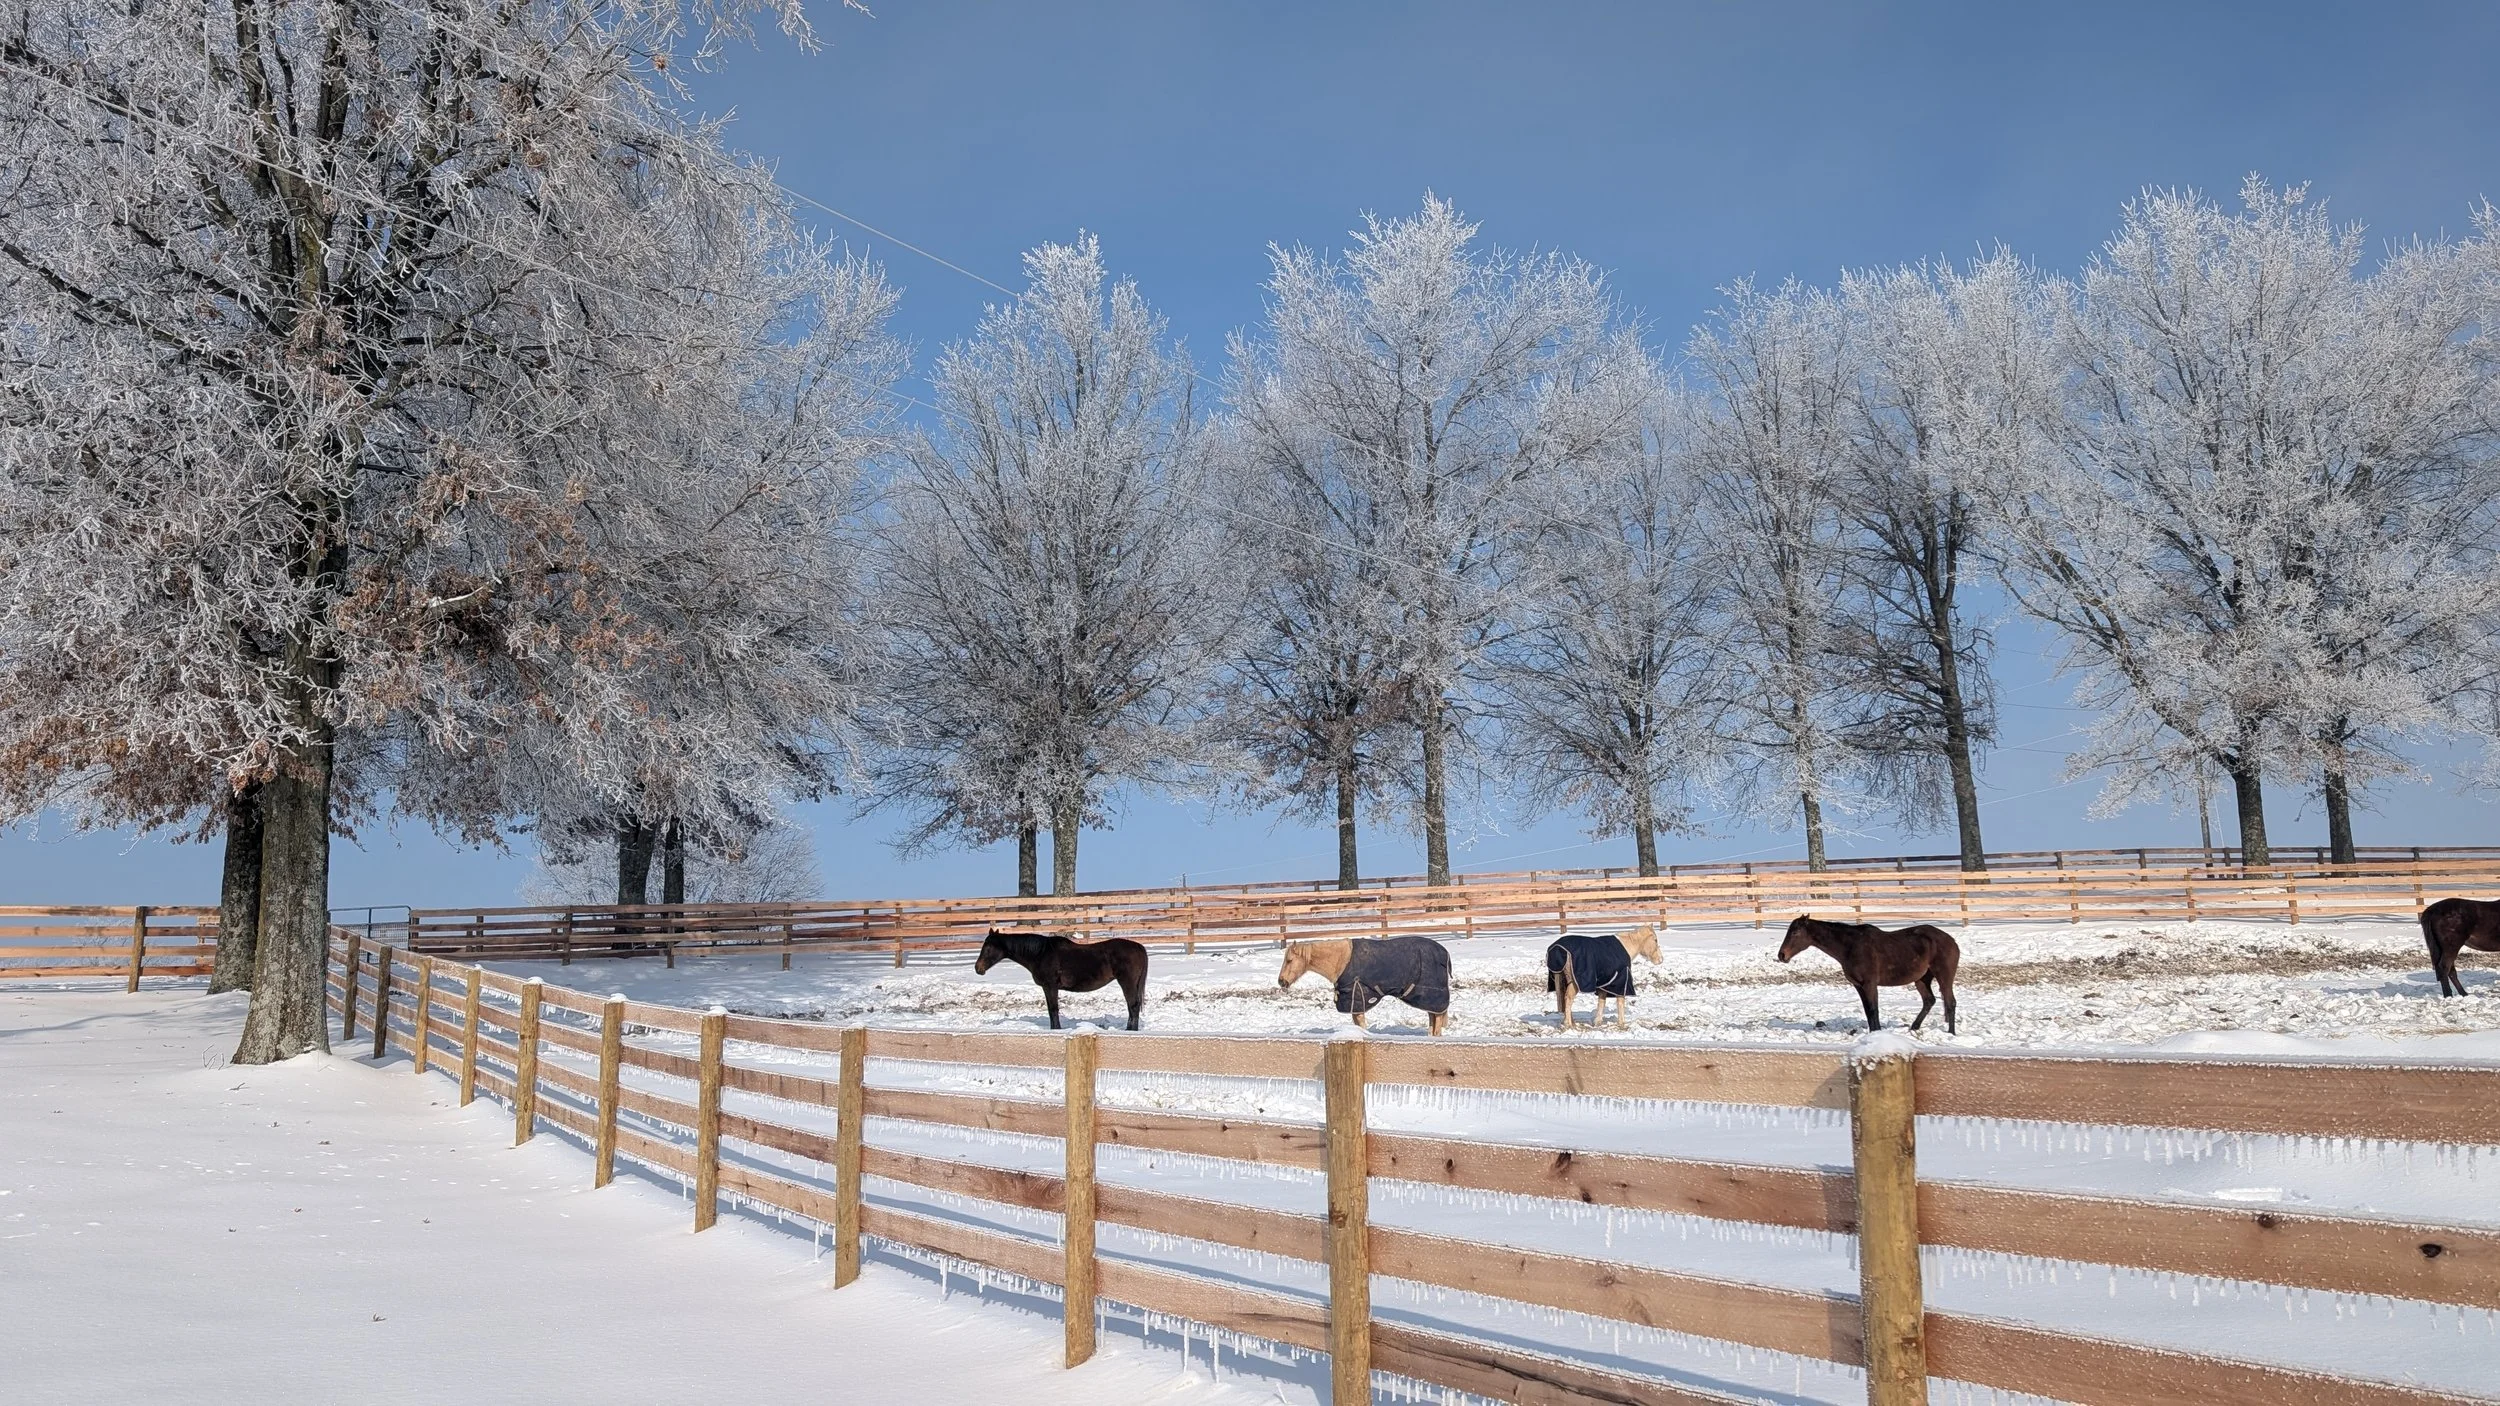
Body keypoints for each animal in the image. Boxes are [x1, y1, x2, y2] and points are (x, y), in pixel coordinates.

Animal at [971, 929, 1149, 1031]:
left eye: (988, 948)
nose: (978, 969)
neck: (1041, 954)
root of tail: (1139, 947)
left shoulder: (1050, 986)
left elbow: (1053, 1010)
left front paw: (1056, 1030)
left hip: (1127, 982)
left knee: (1133, 1006)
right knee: (1132, 1006)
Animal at [1278, 935, 1452, 1035]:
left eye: (1289, 960)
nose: (1281, 981)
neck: (1342, 961)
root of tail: (1444, 953)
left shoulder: (1357, 1003)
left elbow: (1361, 1026)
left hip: (1432, 998)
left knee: (1436, 1022)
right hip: (1429, 1001)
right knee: (1433, 1021)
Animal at [1775, 914, 1960, 1033]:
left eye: (1795, 932)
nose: (1782, 955)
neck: (1851, 946)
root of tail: (1951, 940)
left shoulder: (1870, 984)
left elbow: (1873, 1009)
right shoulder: (1858, 985)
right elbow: (1867, 1010)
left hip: (1944, 976)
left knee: (1950, 1002)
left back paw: (1951, 1033)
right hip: (1922, 979)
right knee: (1929, 1000)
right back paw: (1914, 1028)